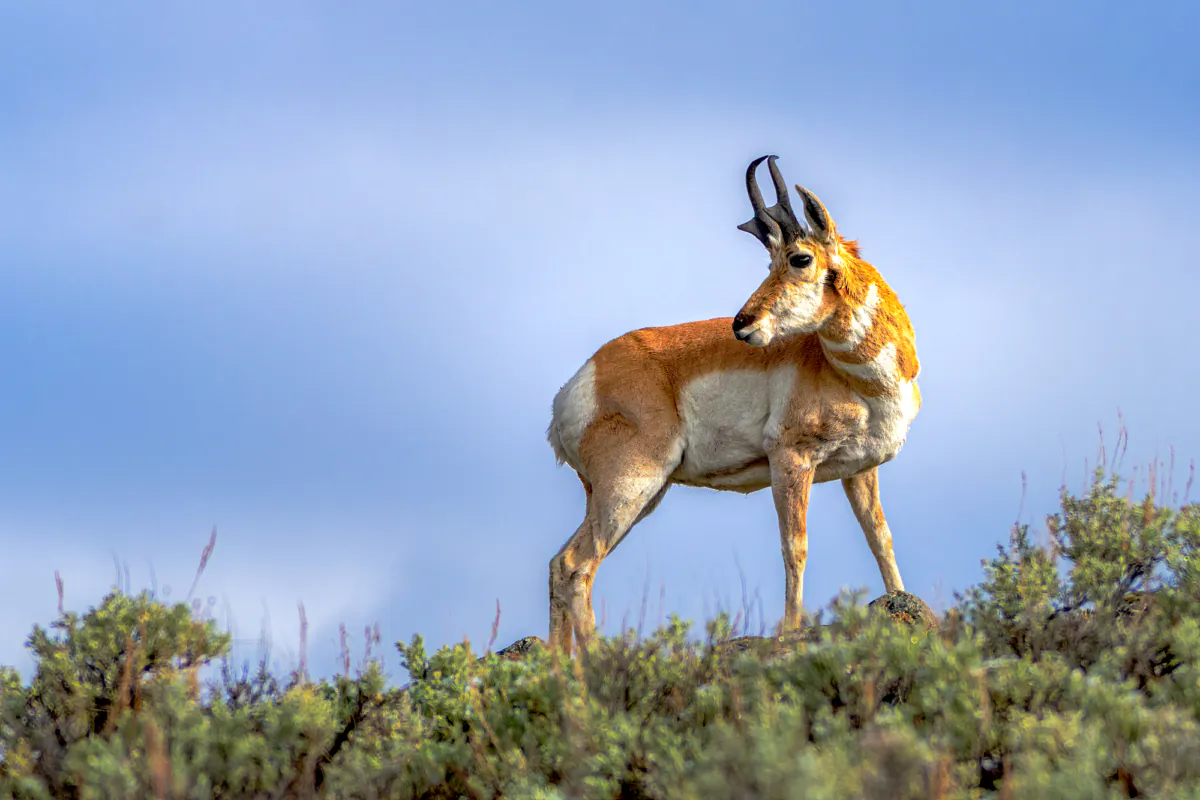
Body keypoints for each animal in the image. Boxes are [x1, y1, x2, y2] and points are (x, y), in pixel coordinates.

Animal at [547, 155, 921, 653]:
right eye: (771, 261)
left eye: (800, 258)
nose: (741, 324)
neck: (858, 378)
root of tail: (579, 383)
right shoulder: (792, 460)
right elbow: (795, 546)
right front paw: (791, 629)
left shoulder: (860, 471)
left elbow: (881, 537)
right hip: (630, 488)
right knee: (576, 566)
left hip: (627, 497)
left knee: (559, 565)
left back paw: (558, 665)